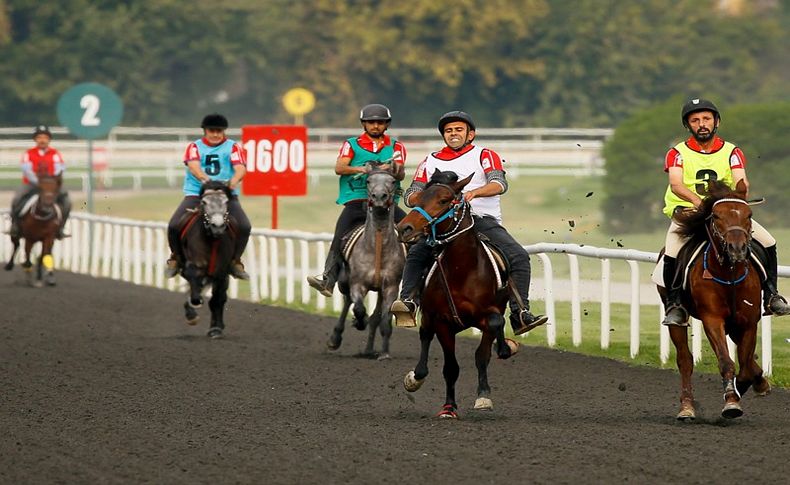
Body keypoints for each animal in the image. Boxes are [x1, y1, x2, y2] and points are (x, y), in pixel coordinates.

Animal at [179, 180, 238, 338]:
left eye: (226, 202)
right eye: (204, 202)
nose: (217, 226)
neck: (212, 240)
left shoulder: (222, 271)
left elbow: (217, 299)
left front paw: (215, 329)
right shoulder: (193, 266)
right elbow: (193, 285)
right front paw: (191, 314)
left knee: (219, 298)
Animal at [328, 163, 406, 360]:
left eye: (392, 181)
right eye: (369, 180)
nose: (379, 197)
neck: (377, 247)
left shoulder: (390, 287)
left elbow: (384, 321)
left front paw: (384, 353)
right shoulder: (357, 284)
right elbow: (359, 309)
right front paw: (358, 321)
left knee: (375, 318)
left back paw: (369, 350)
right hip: (344, 281)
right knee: (348, 302)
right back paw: (335, 338)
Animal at [396, 169, 520, 416]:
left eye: (444, 200)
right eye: (419, 197)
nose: (405, 228)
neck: (462, 271)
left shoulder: (487, 316)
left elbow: (485, 349)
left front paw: (483, 395)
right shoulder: (443, 322)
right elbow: (450, 367)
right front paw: (448, 407)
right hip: (428, 316)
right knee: (425, 336)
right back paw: (416, 376)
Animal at [664, 179, 772, 420]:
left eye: (749, 214)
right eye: (716, 216)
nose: (737, 249)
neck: (729, 273)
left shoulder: (748, 321)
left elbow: (746, 364)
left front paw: (744, 387)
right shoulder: (712, 319)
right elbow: (726, 361)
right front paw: (732, 400)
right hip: (677, 319)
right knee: (685, 360)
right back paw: (687, 407)